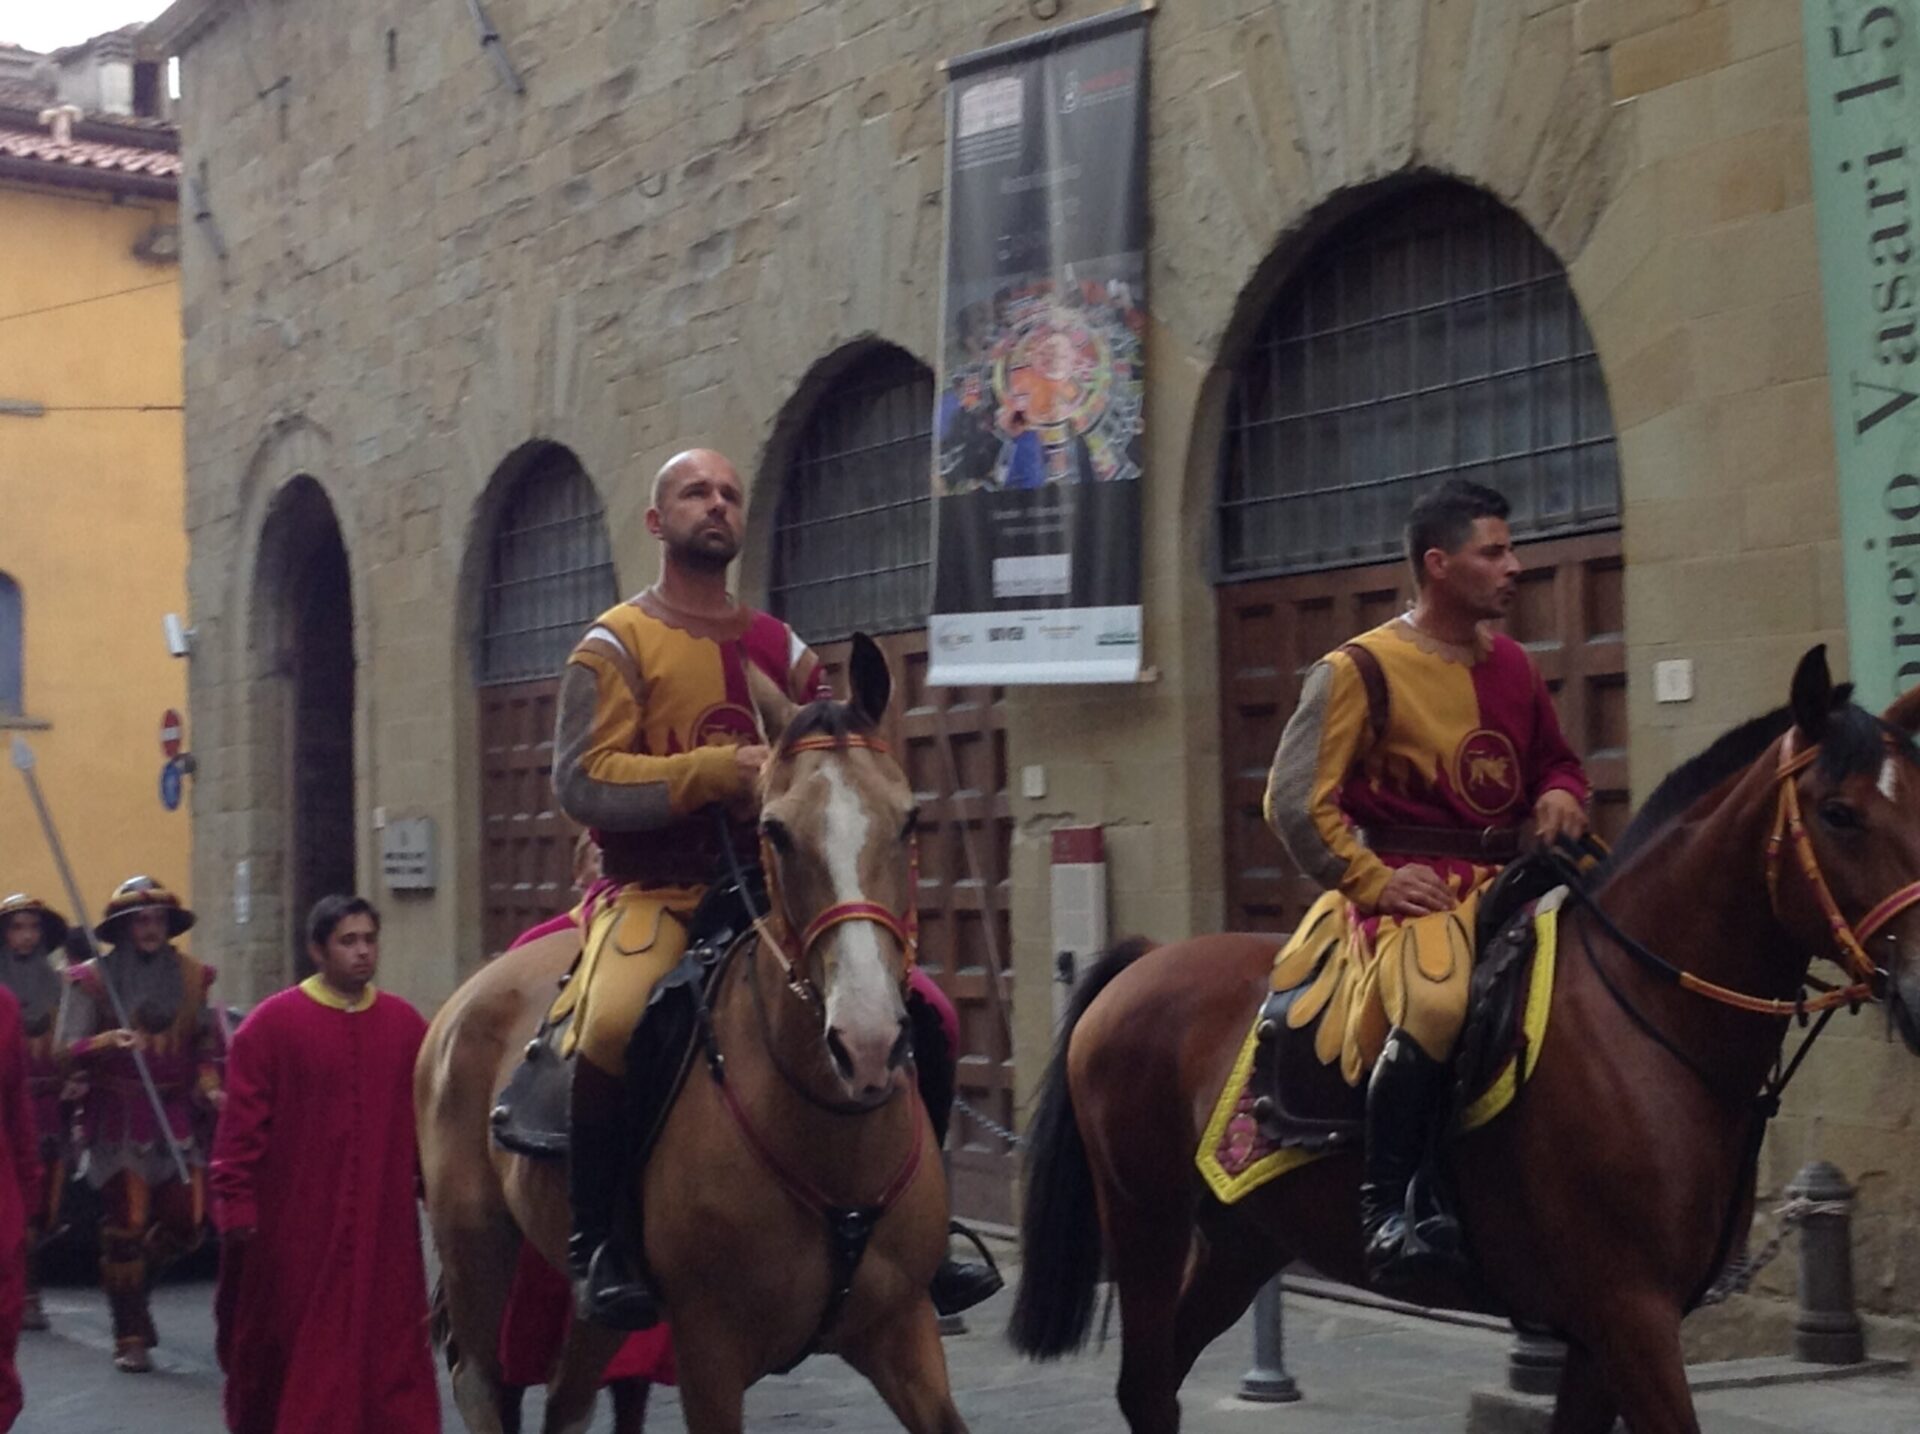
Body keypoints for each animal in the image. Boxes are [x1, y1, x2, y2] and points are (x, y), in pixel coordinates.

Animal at [416, 641, 960, 1434]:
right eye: (774, 830)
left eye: (910, 820)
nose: (866, 1043)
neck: (831, 1142)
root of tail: (462, 1003)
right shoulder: (710, 1351)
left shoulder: (903, 1329)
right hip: (479, 1257)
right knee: (484, 1384)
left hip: (592, 1311)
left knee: (568, 1399)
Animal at [1013, 648, 1912, 1434]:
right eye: (1839, 813)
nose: (1919, 982)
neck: (1647, 1019)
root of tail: (1144, 961)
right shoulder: (1631, 1312)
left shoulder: (1604, 1332)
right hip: (1146, 1222)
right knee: (1146, 1383)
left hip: (1242, 1238)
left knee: (1160, 1385)